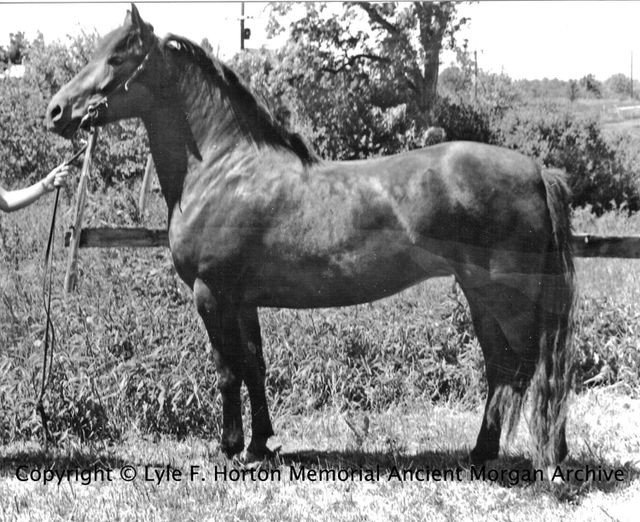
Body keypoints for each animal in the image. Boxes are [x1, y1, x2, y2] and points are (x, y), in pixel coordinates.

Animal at [45, 4, 575, 469]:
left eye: (118, 56)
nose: (55, 111)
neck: (222, 168)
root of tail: (536, 171)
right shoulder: (242, 299)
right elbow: (254, 365)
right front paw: (260, 443)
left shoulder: (211, 293)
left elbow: (226, 370)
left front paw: (229, 446)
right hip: (481, 297)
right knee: (503, 369)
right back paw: (486, 452)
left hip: (506, 298)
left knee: (527, 369)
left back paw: (534, 455)